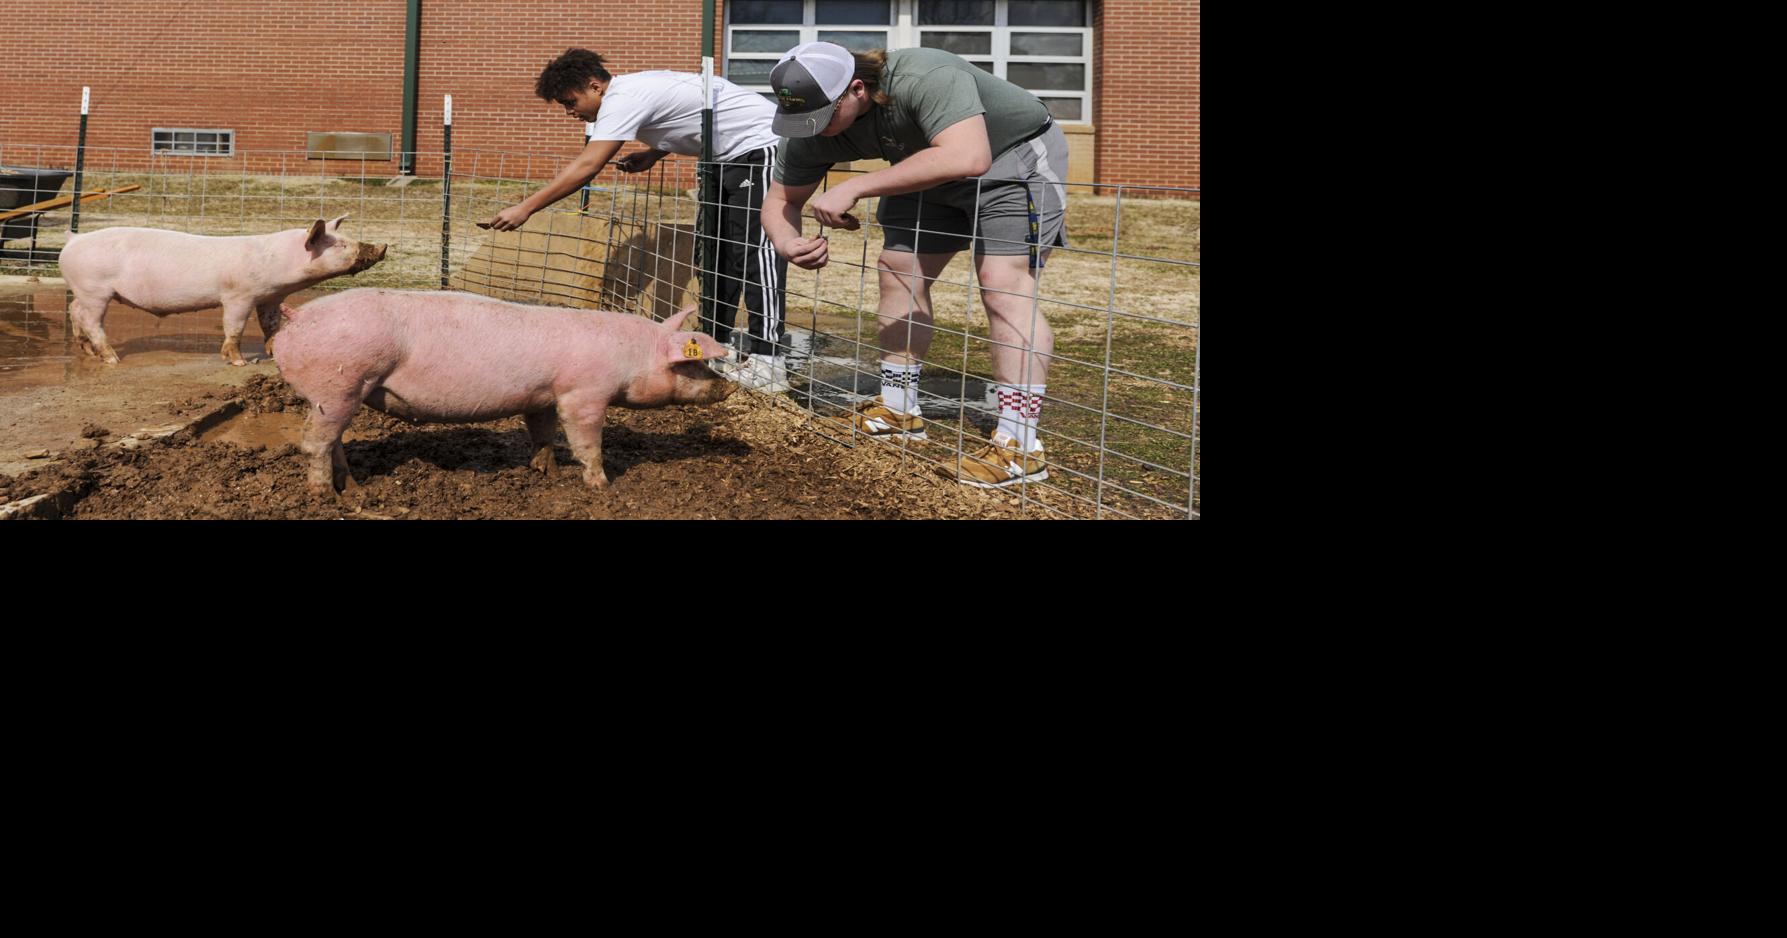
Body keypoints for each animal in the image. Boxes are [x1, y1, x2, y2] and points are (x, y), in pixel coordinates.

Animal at [57, 216, 388, 366]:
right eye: (341, 245)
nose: (383, 246)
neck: (278, 263)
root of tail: (73, 240)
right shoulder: (238, 295)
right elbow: (235, 327)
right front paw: (240, 362)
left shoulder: (270, 297)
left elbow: (271, 325)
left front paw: (272, 353)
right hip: (95, 289)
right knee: (91, 320)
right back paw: (111, 358)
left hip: (84, 291)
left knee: (74, 311)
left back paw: (86, 350)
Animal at [266, 288, 737, 496]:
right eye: (690, 362)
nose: (727, 387)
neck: (631, 355)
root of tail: (297, 317)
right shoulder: (583, 393)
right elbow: (586, 441)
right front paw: (601, 487)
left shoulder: (543, 396)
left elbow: (542, 433)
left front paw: (545, 473)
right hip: (339, 384)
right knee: (314, 443)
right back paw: (325, 496)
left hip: (342, 393)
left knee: (334, 442)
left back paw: (352, 485)